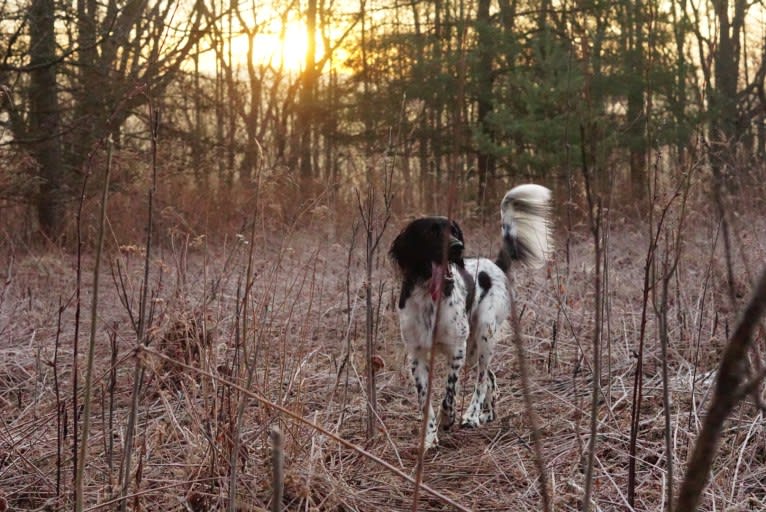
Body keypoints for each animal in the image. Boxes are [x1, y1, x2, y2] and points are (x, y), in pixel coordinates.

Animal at [390, 184, 552, 448]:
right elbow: (425, 400)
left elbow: (449, 392)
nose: (457, 246)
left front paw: (448, 418)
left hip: (483, 334)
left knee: (482, 378)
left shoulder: (457, 348)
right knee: (490, 377)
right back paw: (487, 414)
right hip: (474, 346)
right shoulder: (416, 355)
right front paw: (429, 437)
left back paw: (472, 415)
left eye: (455, 230)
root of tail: (495, 265)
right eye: (432, 233)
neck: (429, 296)